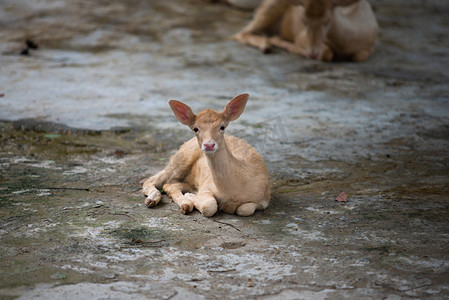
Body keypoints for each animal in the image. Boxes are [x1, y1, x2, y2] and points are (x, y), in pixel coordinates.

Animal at [140, 93, 270, 216]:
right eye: (195, 129)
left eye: (222, 127)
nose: (209, 145)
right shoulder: (206, 186)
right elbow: (210, 206)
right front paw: (192, 197)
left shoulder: (265, 198)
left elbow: (245, 209)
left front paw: (190, 196)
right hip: (180, 158)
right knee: (152, 180)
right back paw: (154, 200)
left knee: (170, 185)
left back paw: (185, 203)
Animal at [234, 0, 378, 61]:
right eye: (303, 20)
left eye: (327, 21)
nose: (312, 53)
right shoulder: (301, 36)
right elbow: (327, 53)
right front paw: (292, 47)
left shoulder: (370, 45)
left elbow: (359, 56)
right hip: (270, 7)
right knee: (241, 33)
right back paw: (266, 45)